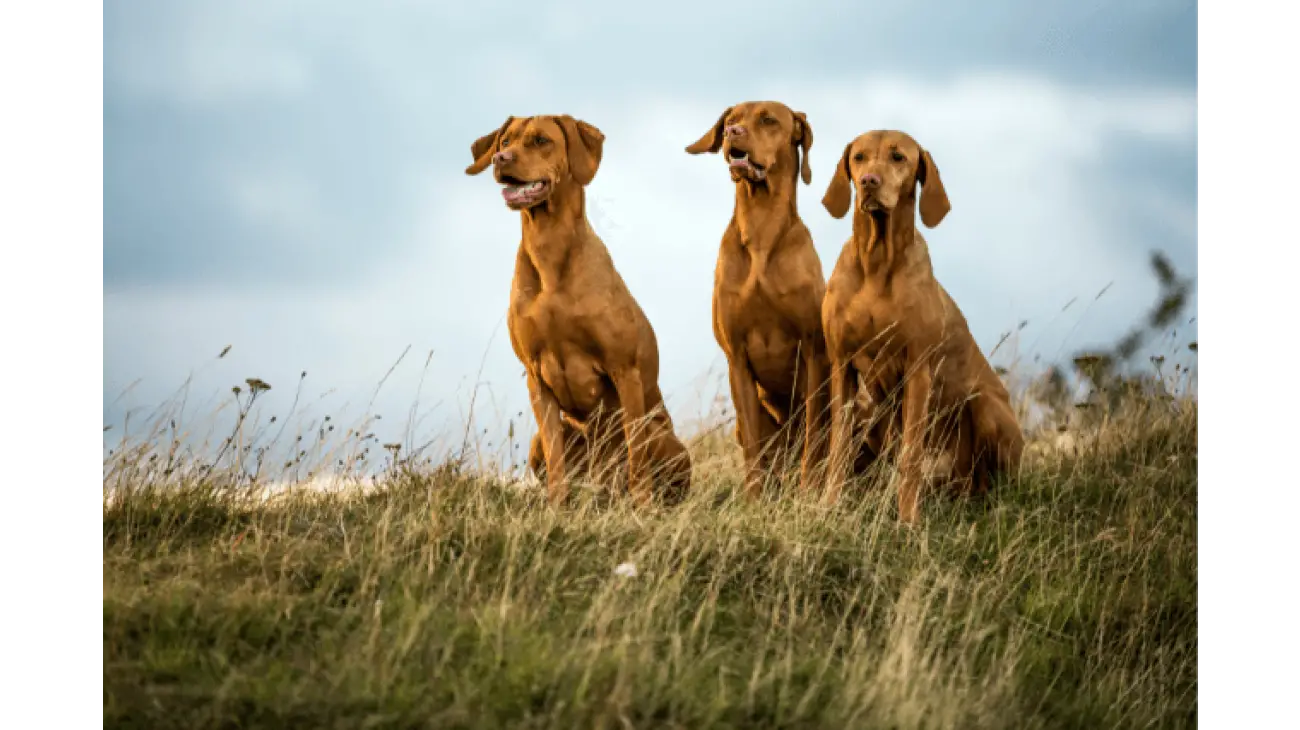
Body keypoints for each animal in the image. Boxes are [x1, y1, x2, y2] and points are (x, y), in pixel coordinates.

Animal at [465, 114, 696, 506]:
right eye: (504, 141)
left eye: (541, 140)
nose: (501, 159)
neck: (549, 249)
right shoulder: (536, 378)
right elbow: (556, 460)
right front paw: (556, 508)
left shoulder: (624, 369)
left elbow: (637, 459)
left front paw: (644, 508)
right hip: (541, 442)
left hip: (663, 439)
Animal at [681, 102, 832, 496]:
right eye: (731, 120)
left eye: (768, 120)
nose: (732, 132)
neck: (762, 230)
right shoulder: (737, 358)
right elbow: (752, 447)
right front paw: (754, 498)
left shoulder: (813, 351)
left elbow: (814, 437)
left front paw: (810, 491)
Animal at [821, 127, 1024, 519]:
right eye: (858, 158)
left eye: (898, 157)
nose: (869, 181)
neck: (877, 261)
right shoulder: (841, 365)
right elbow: (838, 444)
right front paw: (829, 505)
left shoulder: (918, 370)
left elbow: (911, 455)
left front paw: (908, 520)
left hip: (986, 406)